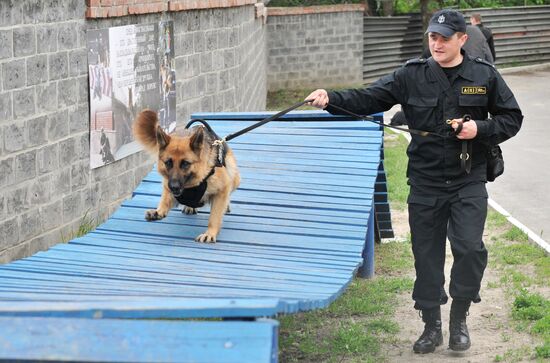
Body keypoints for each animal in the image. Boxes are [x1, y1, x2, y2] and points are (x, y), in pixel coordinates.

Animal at [134, 109, 242, 243]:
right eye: (168, 162)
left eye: (185, 163)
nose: (174, 187)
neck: (192, 185)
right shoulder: (167, 184)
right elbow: (165, 199)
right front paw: (159, 211)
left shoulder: (223, 189)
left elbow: (214, 216)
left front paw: (210, 233)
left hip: (233, 174)